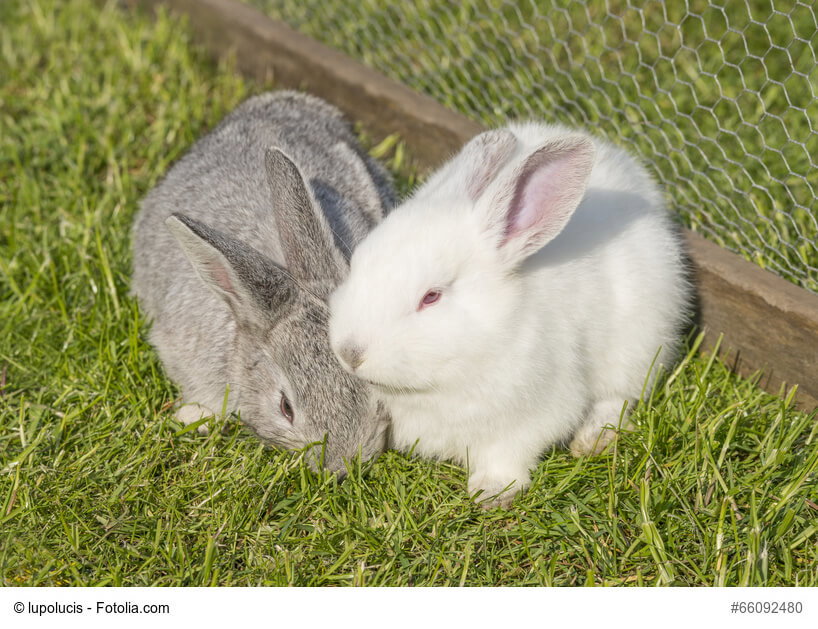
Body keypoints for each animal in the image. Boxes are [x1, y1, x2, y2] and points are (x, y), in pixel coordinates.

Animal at [329, 121, 692, 506]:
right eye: (357, 264)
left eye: (431, 297)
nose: (350, 353)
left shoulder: (534, 415)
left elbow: (507, 454)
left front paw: (491, 491)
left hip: (637, 348)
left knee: (617, 398)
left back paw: (593, 439)